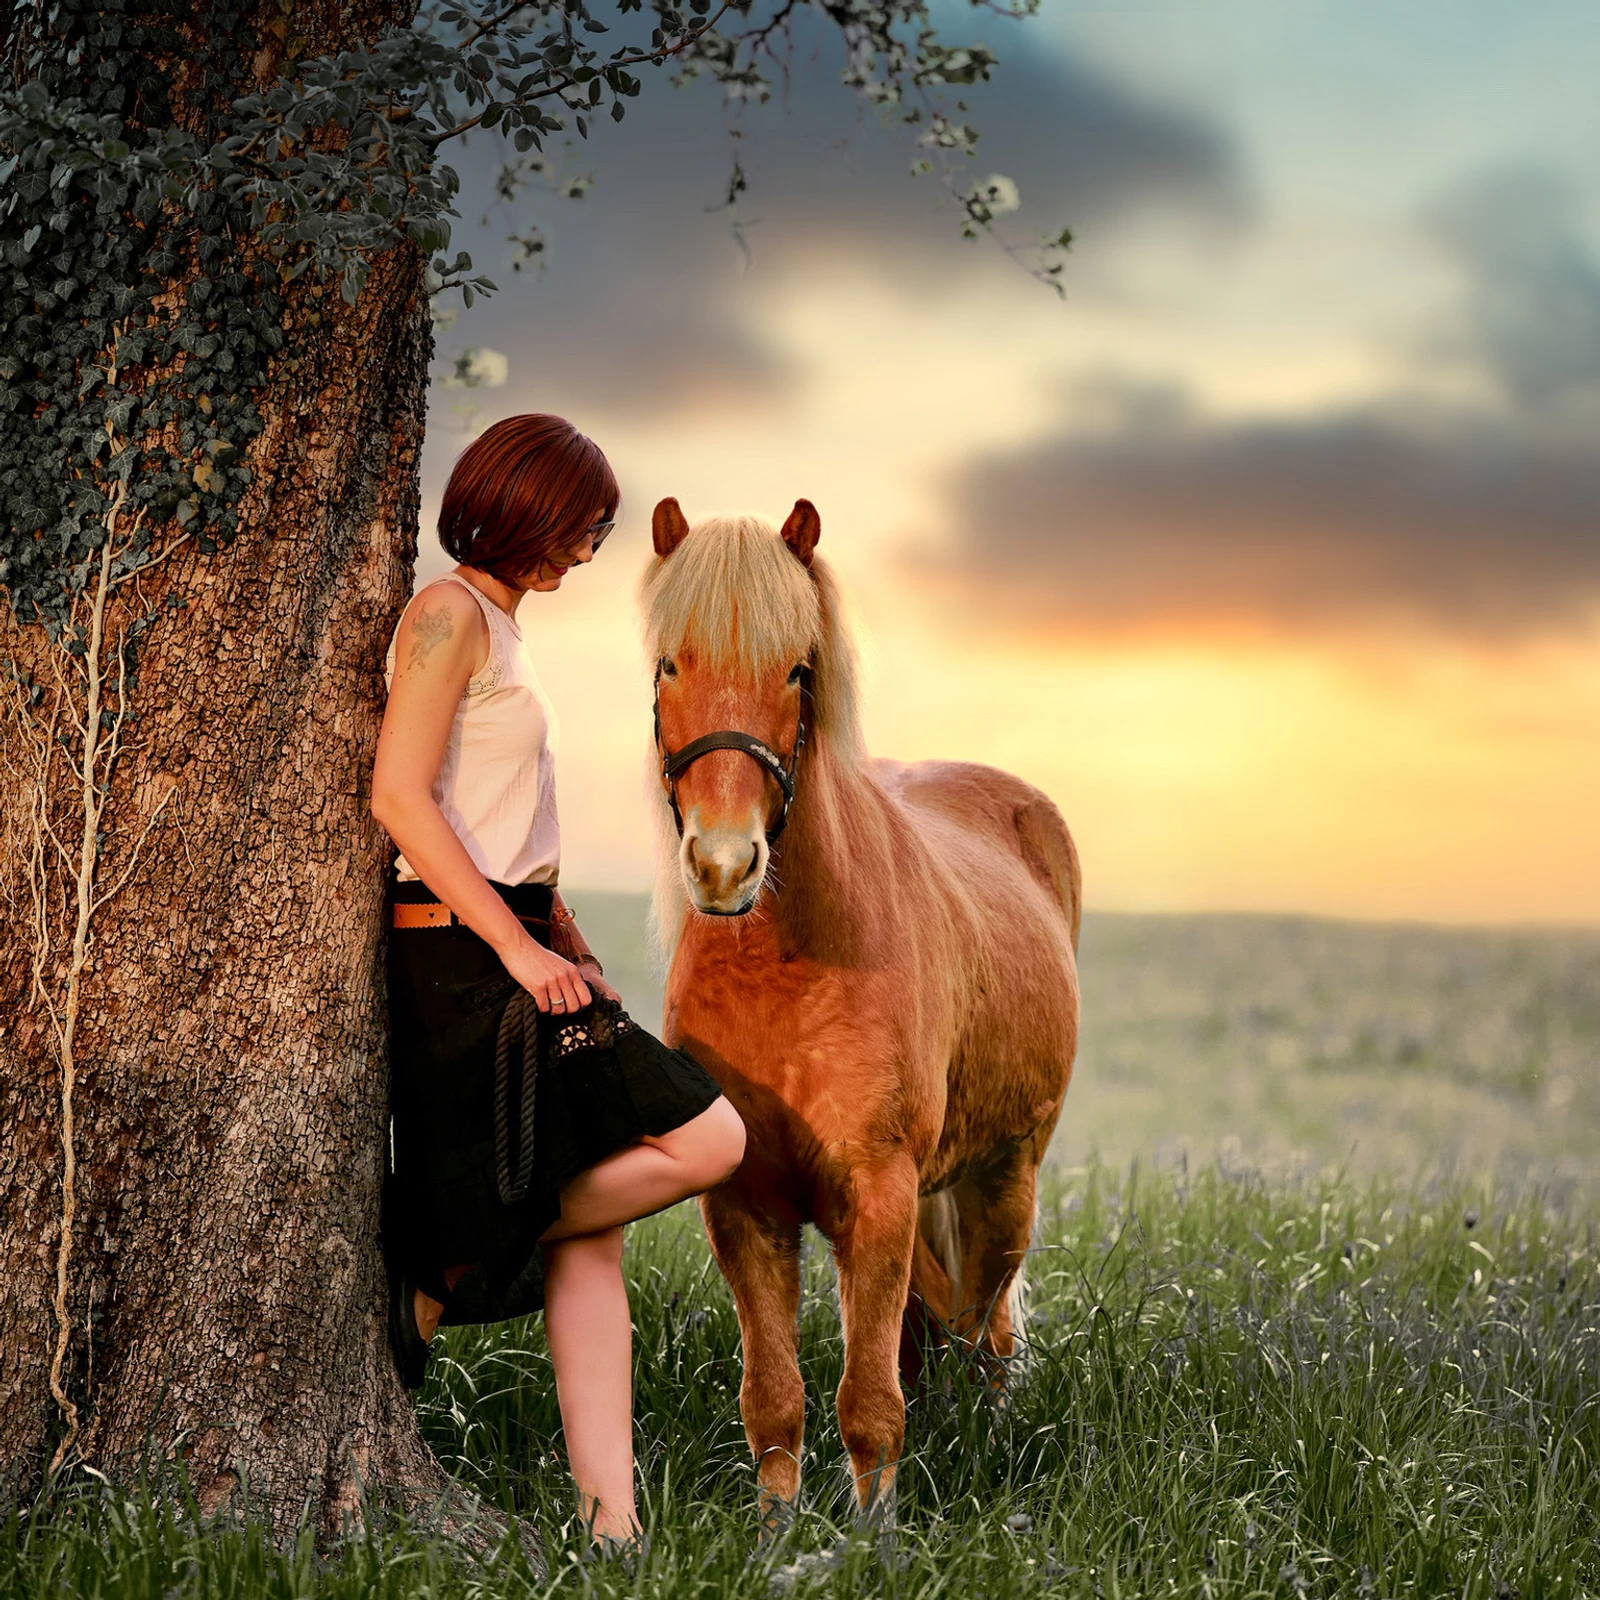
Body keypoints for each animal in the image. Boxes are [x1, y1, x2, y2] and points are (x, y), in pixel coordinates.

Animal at [640, 496, 1081, 1529]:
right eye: (670, 663)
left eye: (797, 669)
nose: (724, 866)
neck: (787, 969)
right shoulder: (747, 1206)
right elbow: (777, 1399)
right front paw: (778, 1537)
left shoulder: (877, 1196)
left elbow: (870, 1406)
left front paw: (869, 1539)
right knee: (937, 1330)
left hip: (1006, 1176)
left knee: (989, 1328)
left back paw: (989, 1438)